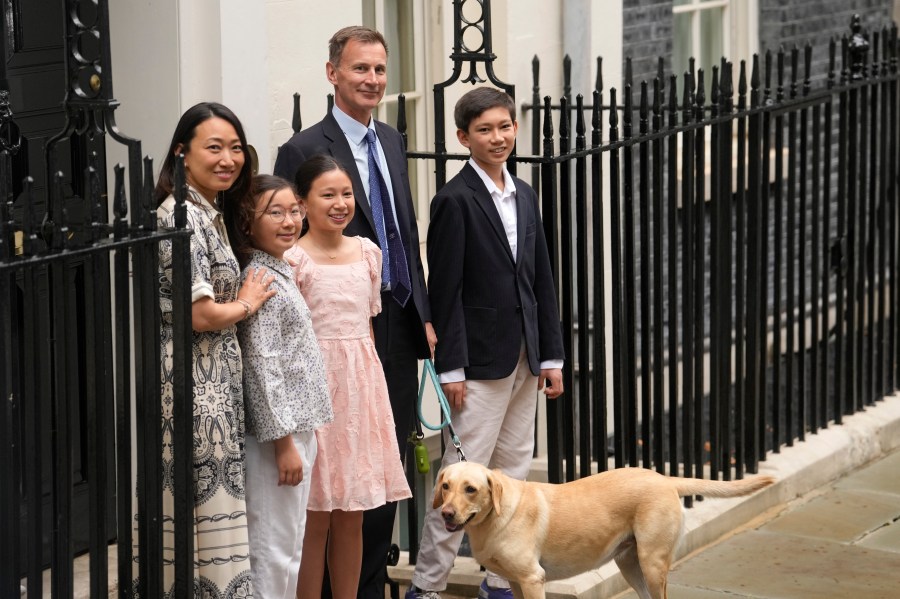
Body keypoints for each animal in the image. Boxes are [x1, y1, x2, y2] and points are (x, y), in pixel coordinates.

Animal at [432, 462, 768, 596]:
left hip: (653, 563)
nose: (446, 513)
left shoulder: (533, 578)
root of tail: (664, 479)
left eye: (471, 489)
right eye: (446, 485)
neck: (494, 518)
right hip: (629, 563)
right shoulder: (515, 581)